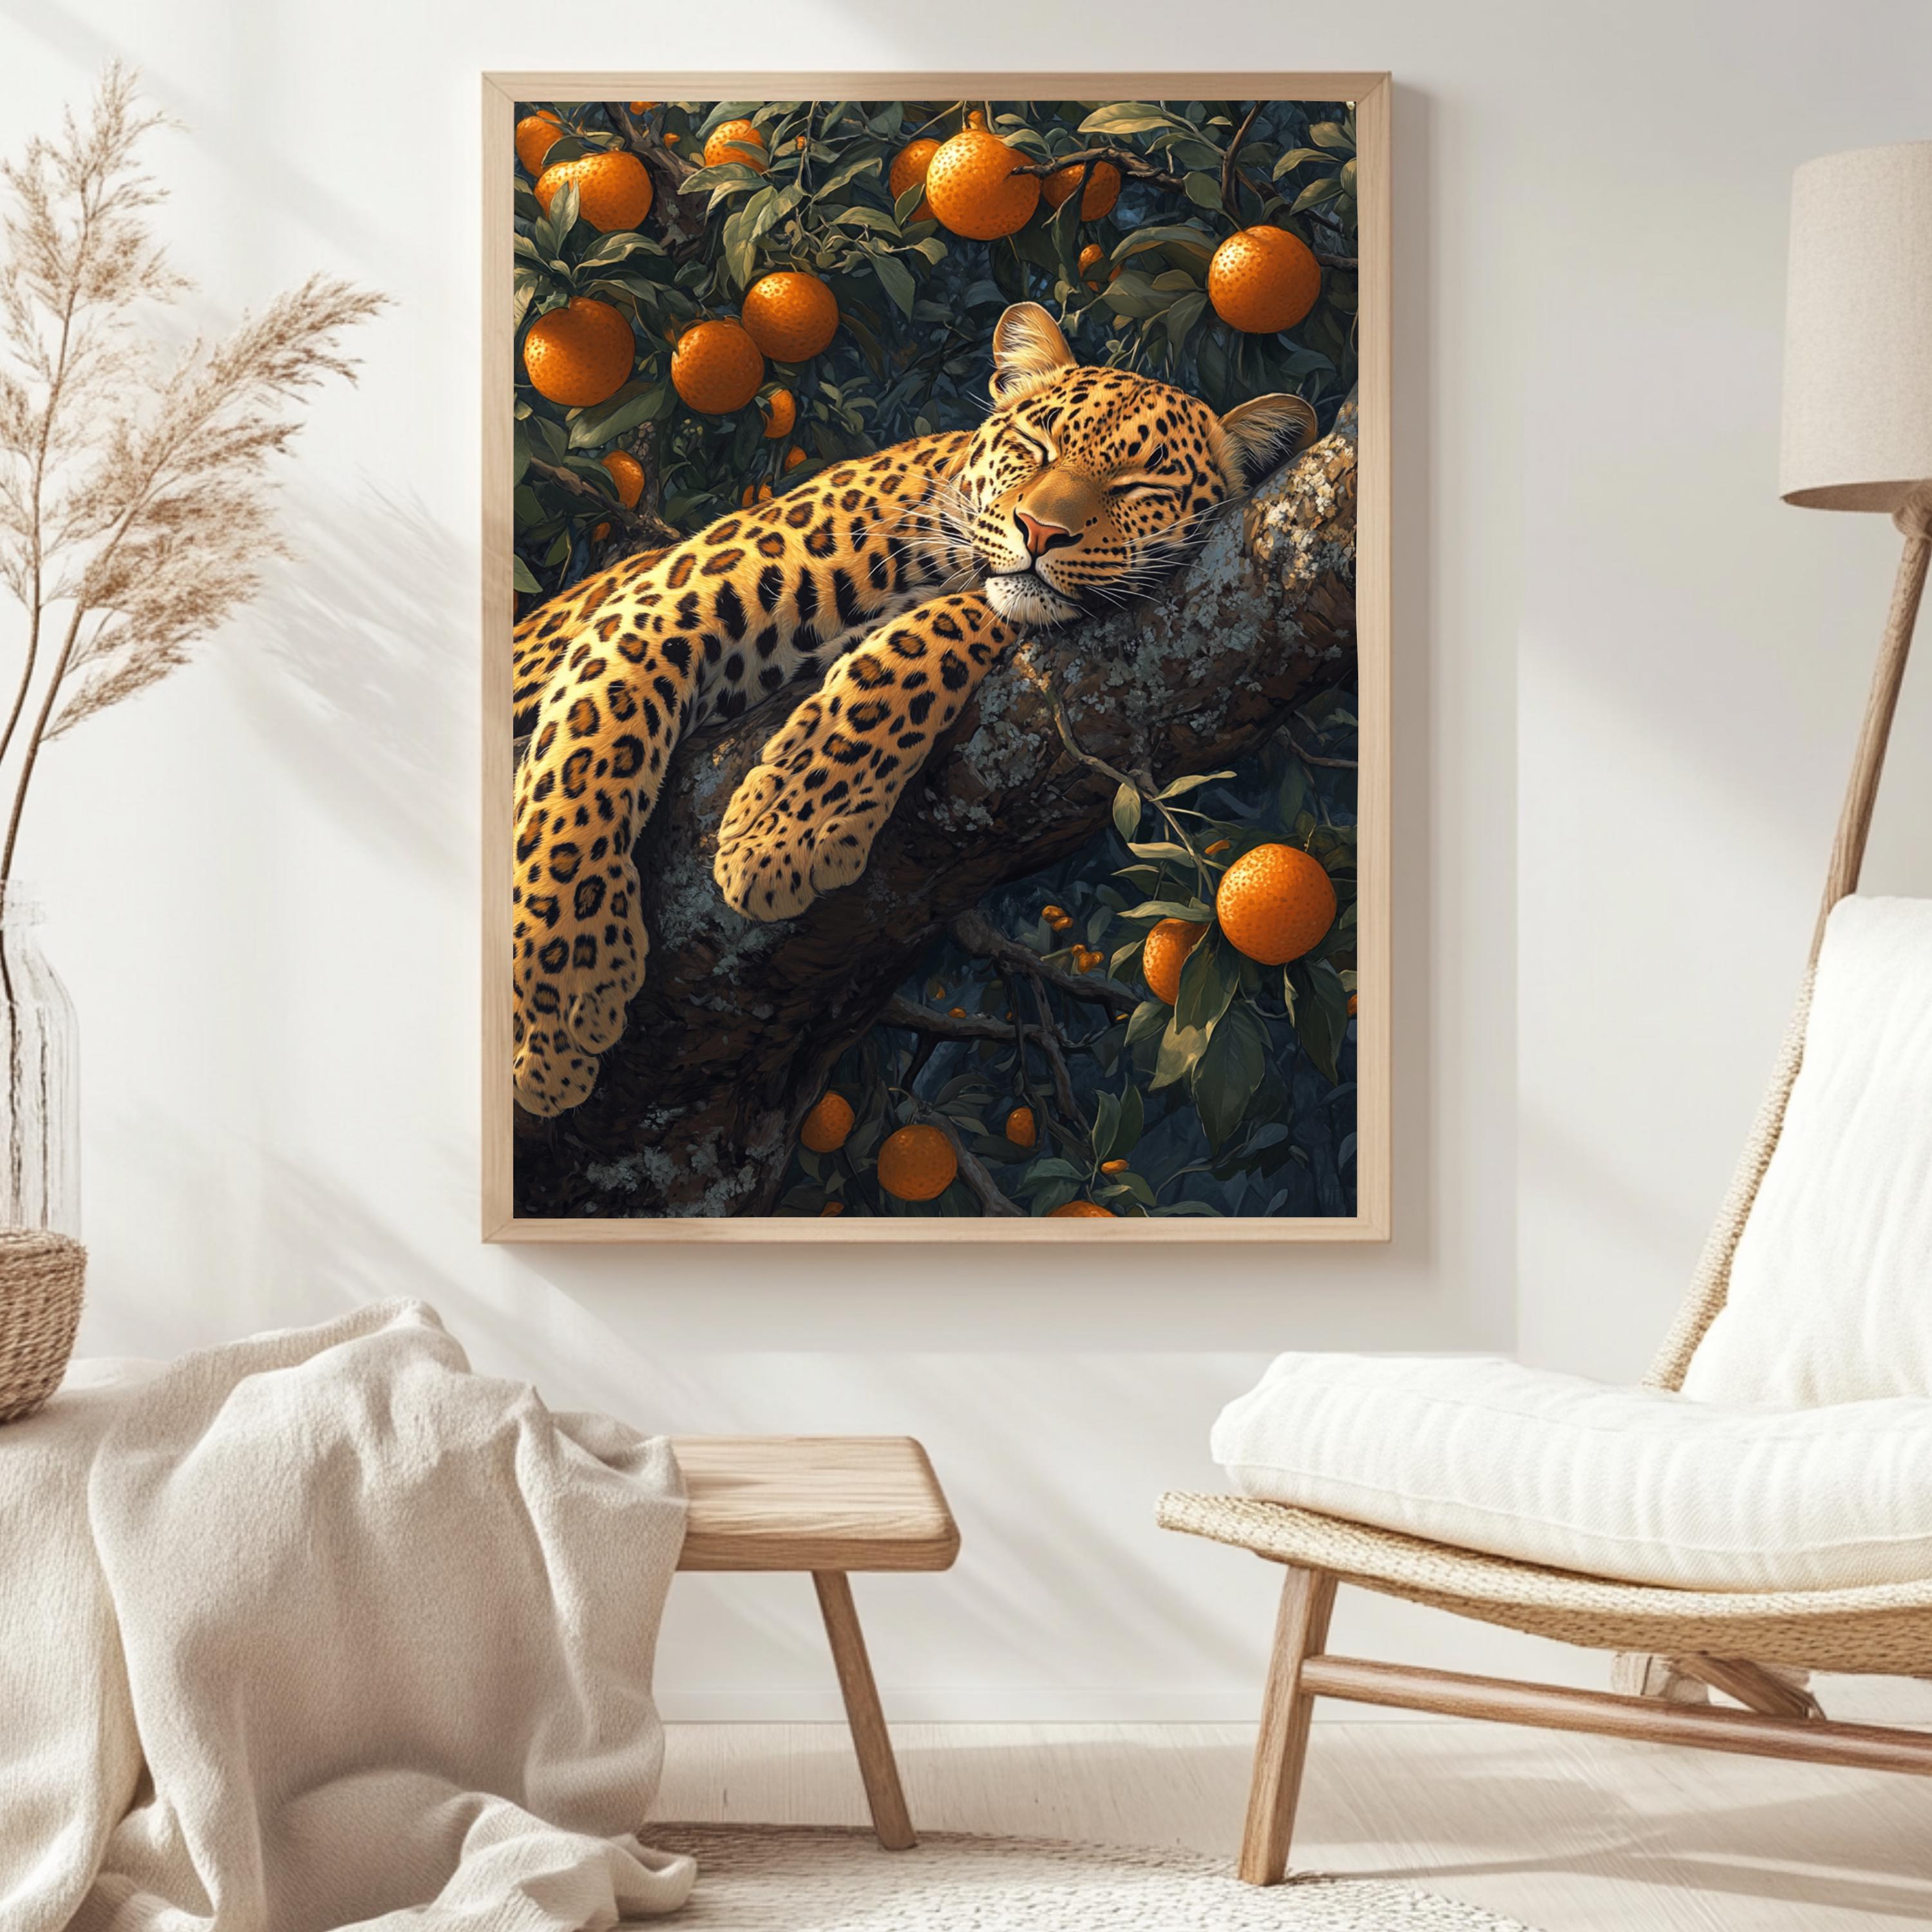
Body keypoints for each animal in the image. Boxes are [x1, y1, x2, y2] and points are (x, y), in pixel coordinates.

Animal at [511, 300, 1319, 1116]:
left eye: (1138, 484)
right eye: (1035, 447)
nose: (1040, 531)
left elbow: (921, 647)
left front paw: (785, 828)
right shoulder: (662, 600)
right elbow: (582, 768)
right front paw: (559, 1004)